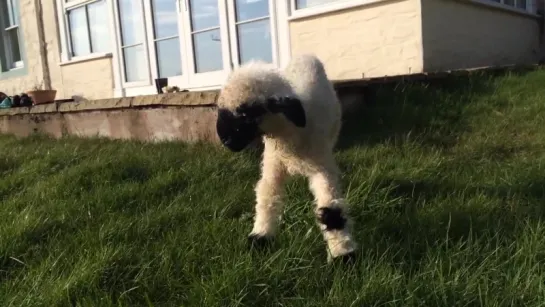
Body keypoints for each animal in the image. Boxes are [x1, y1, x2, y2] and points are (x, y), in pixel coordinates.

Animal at [212, 54, 356, 264]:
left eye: (249, 112)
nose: (225, 140)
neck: (289, 138)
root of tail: (305, 56)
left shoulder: (322, 168)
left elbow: (331, 210)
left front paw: (343, 254)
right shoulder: (273, 166)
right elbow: (266, 199)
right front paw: (260, 238)